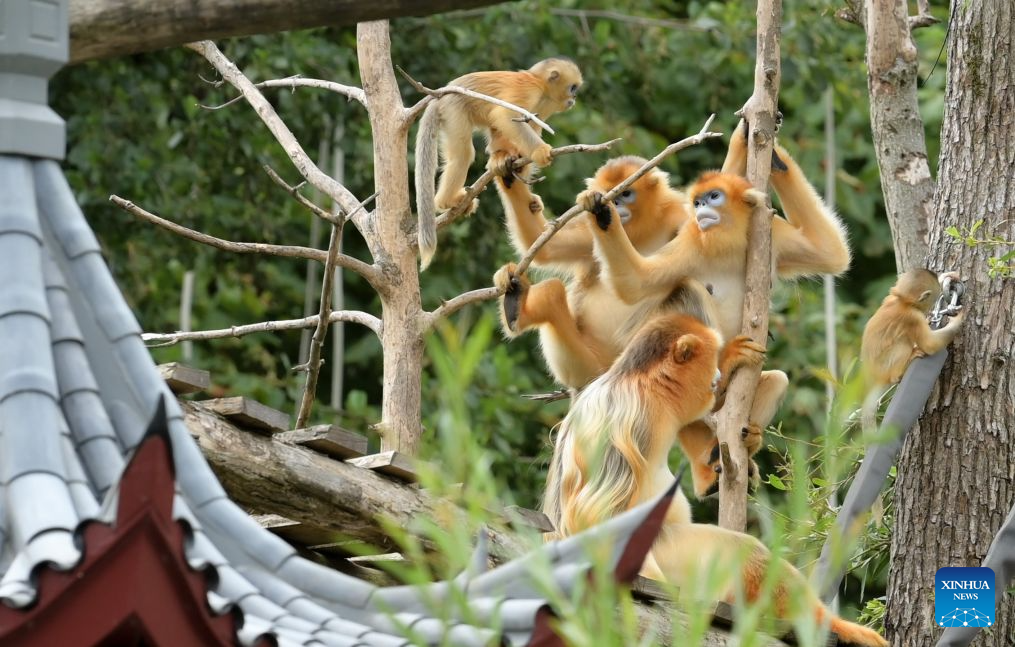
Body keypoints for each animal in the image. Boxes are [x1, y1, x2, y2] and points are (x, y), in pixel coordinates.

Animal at [414, 58, 583, 270]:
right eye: (572, 87)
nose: (574, 97)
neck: (540, 85)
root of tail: (440, 95)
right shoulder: (529, 91)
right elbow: (504, 115)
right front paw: (539, 151)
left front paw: (515, 166)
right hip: (454, 109)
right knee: (463, 154)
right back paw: (446, 201)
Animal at [859, 268, 964, 431]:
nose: (929, 310)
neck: (902, 302)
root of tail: (872, 377)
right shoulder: (913, 318)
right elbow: (929, 344)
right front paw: (957, 321)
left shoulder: (891, 296)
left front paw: (948, 276)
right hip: (886, 367)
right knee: (903, 344)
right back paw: (900, 371)